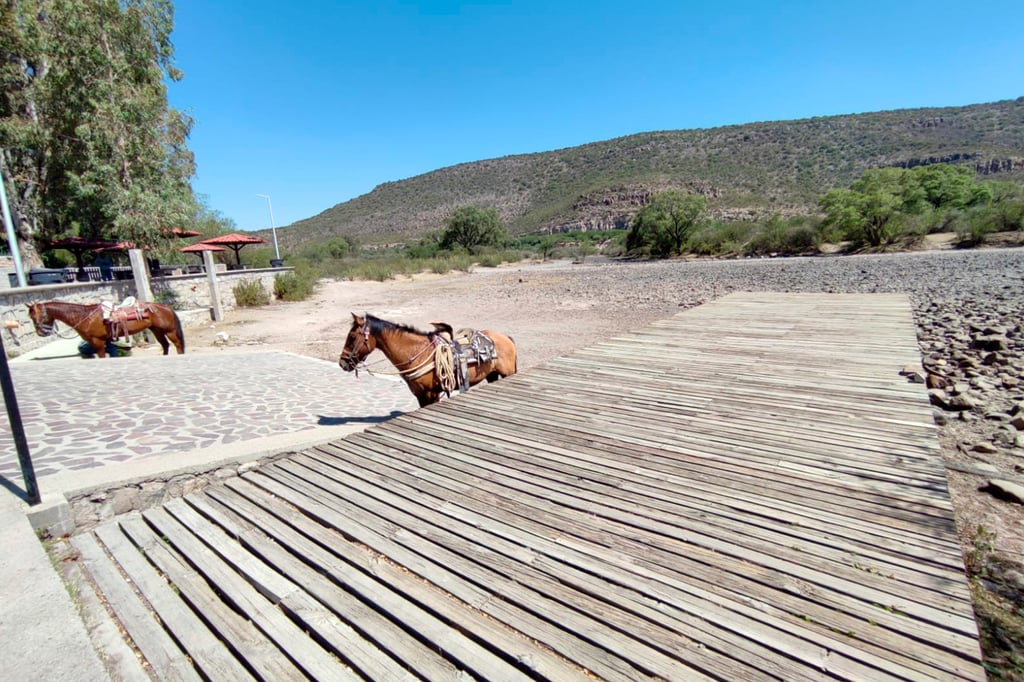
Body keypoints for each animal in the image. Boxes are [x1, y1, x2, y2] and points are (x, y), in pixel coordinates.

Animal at [27, 301, 185, 358]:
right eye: (30, 317)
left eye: (34, 316)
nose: (41, 333)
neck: (84, 316)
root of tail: (165, 307)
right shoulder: (103, 341)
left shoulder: (97, 341)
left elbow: (102, 356)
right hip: (156, 330)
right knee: (165, 345)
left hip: (169, 331)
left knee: (177, 345)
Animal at [339, 311, 516, 405]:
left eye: (352, 337)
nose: (342, 363)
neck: (415, 353)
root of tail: (506, 337)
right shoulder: (420, 395)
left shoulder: (431, 394)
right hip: (492, 375)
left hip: (508, 373)